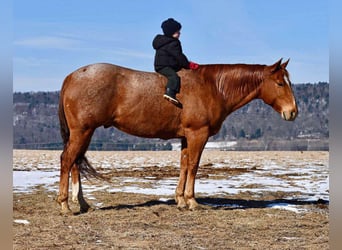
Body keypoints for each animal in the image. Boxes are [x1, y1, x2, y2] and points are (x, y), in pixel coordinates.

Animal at [56, 58, 296, 213]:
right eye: (280, 83)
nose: (293, 111)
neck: (213, 87)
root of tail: (70, 77)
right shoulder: (198, 134)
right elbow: (194, 166)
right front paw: (191, 201)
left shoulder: (185, 137)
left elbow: (183, 165)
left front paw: (180, 199)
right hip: (82, 131)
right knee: (67, 160)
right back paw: (65, 204)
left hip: (84, 133)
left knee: (75, 163)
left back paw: (82, 203)